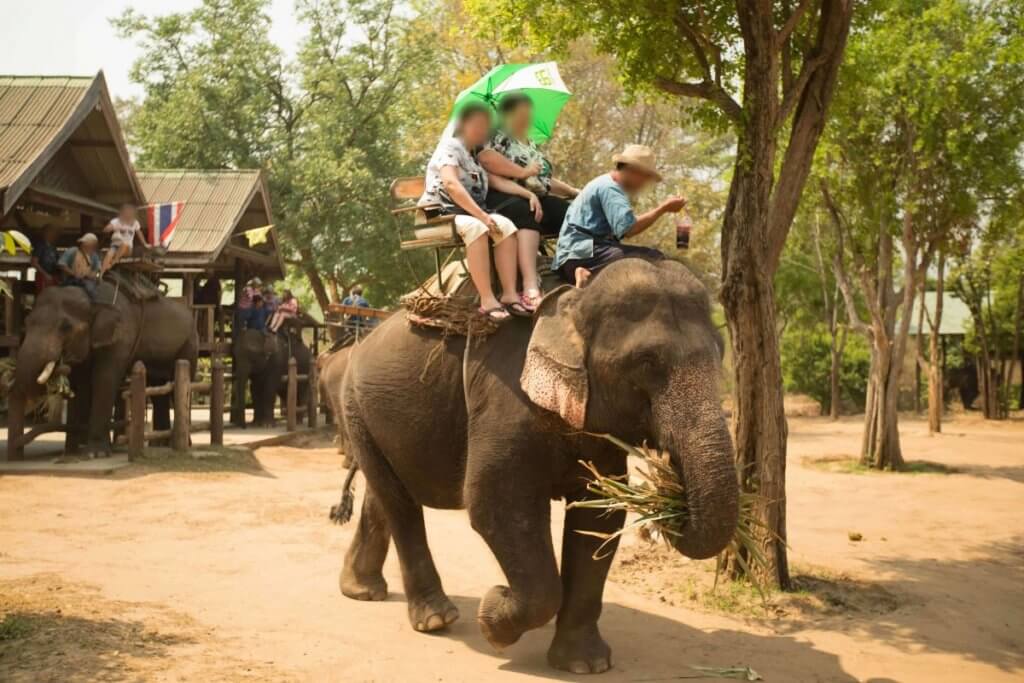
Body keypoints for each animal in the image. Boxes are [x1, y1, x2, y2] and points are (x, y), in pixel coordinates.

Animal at [10, 283, 197, 457]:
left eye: (66, 327)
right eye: (26, 322)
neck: (93, 299)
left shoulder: (121, 337)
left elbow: (104, 379)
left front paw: (95, 454)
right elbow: (83, 384)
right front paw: (79, 449)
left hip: (188, 344)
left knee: (178, 384)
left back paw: (183, 444)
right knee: (157, 388)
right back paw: (159, 445)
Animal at [338, 258, 738, 674]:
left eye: (719, 352)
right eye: (647, 362)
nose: (671, 503)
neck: (575, 301)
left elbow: (598, 520)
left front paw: (585, 665)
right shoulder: (506, 399)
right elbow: (496, 505)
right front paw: (493, 617)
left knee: (384, 495)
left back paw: (361, 591)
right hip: (354, 405)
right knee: (398, 503)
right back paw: (436, 619)